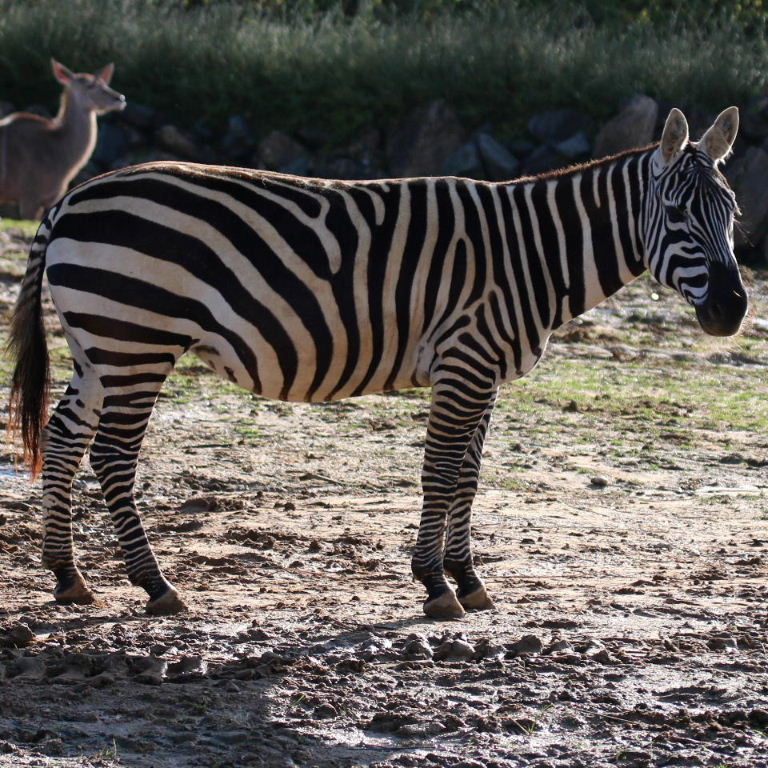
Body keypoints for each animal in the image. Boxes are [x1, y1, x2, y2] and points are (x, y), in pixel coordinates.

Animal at [8, 106, 747, 619]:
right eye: (677, 212)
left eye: (734, 213)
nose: (734, 310)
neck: (533, 253)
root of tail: (73, 196)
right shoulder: (464, 361)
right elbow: (442, 473)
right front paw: (435, 585)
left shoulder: (484, 372)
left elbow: (469, 478)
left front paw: (469, 581)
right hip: (137, 338)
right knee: (111, 455)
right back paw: (156, 585)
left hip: (99, 345)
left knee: (65, 437)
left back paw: (68, 576)